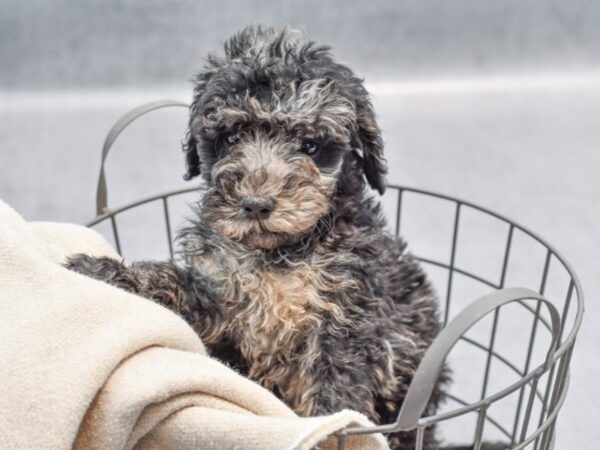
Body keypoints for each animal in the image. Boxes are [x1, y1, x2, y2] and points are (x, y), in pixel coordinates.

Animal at [68, 26, 448, 448]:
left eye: (311, 145)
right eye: (232, 137)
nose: (255, 204)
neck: (276, 256)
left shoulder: (345, 322)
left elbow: (335, 394)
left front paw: (331, 430)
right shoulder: (219, 303)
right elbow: (172, 283)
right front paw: (103, 270)